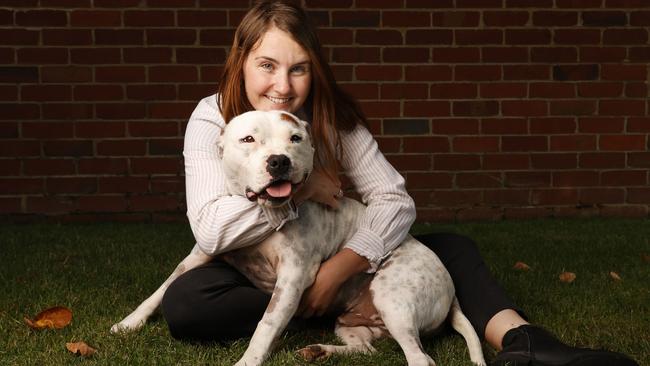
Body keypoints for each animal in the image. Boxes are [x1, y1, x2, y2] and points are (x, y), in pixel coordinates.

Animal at [111, 109, 484, 366]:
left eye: (295, 139)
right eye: (248, 140)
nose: (279, 161)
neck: (265, 214)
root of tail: (450, 288)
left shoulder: (292, 278)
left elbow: (266, 323)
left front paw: (248, 360)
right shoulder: (202, 250)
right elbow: (162, 289)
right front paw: (129, 323)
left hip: (393, 299)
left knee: (421, 358)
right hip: (352, 323)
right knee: (365, 349)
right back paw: (319, 350)